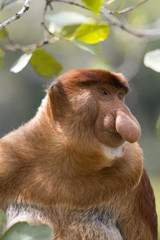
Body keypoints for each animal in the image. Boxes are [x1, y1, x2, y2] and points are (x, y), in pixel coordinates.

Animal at [0, 68, 158, 239]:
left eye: (120, 96)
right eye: (103, 92)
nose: (125, 112)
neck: (69, 157)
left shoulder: (133, 167)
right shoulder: (7, 157)